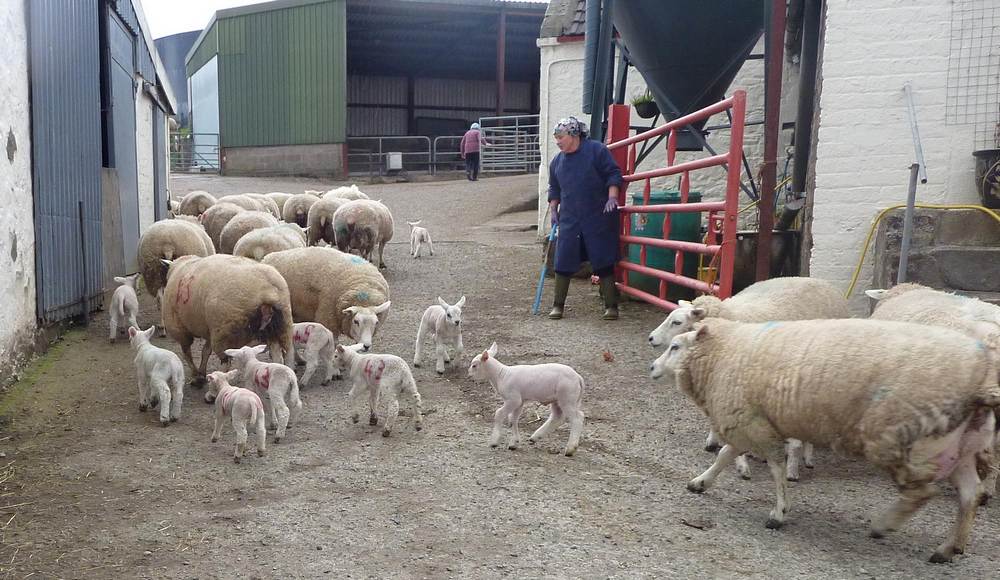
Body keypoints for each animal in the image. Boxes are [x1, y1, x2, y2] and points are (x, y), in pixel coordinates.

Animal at [161, 255, 292, 382]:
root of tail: (267, 290)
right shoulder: (209, 331)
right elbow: (205, 351)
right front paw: (201, 373)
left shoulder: (179, 329)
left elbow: (187, 354)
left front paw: (195, 375)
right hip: (280, 328)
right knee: (279, 358)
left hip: (224, 332)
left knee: (226, 362)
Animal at [648, 318, 1000, 560]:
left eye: (675, 346)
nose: (651, 366)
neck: (721, 354)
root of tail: (980, 381)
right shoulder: (748, 421)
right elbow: (725, 455)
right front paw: (700, 482)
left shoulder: (753, 424)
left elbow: (775, 468)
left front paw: (779, 512)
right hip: (958, 447)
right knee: (970, 494)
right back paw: (949, 547)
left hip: (906, 441)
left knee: (922, 492)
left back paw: (884, 525)